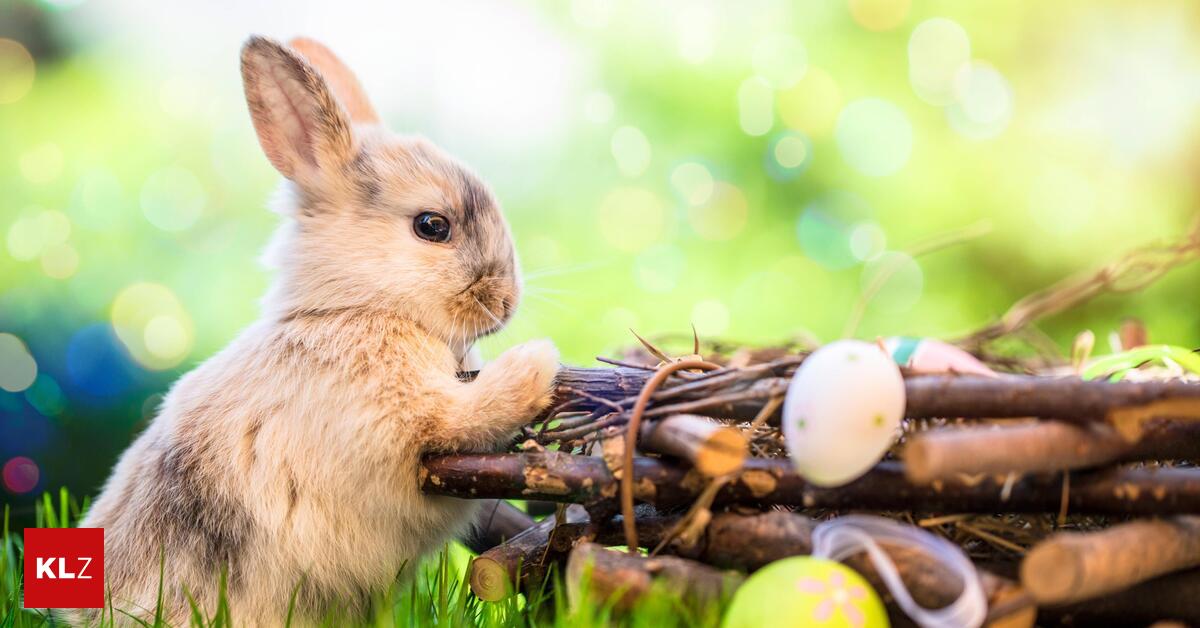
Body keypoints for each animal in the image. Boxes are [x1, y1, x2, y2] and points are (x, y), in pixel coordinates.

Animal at [74, 35, 559, 625]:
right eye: (432, 226)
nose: (506, 303)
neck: (351, 309)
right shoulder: (410, 417)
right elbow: (472, 412)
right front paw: (540, 361)